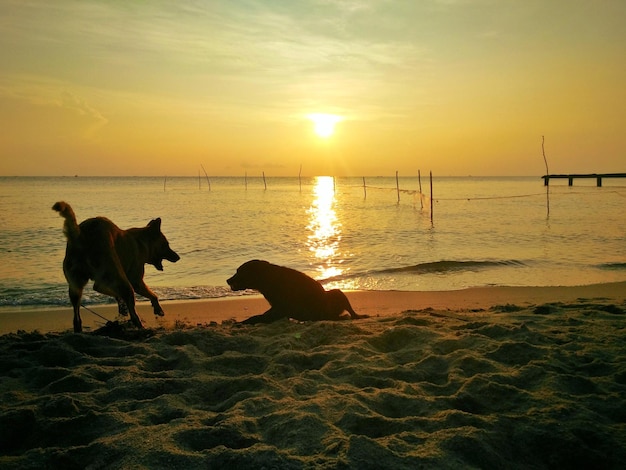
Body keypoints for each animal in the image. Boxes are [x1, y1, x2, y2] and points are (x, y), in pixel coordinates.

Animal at [52, 200, 179, 332]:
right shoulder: (136, 281)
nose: (178, 257)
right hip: (120, 278)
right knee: (130, 308)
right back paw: (140, 326)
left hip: (76, 285)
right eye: (166, 244)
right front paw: (157, 308)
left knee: (78, 310)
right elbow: (152, 295)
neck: (140, 241)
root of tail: (82, 237)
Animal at [225, 258, 366, 324]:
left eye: (239, 272)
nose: (227, 280)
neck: (268, 278)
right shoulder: (278, 309)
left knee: (349, 313)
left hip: (336, 293)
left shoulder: (280, 309)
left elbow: (258, 317)